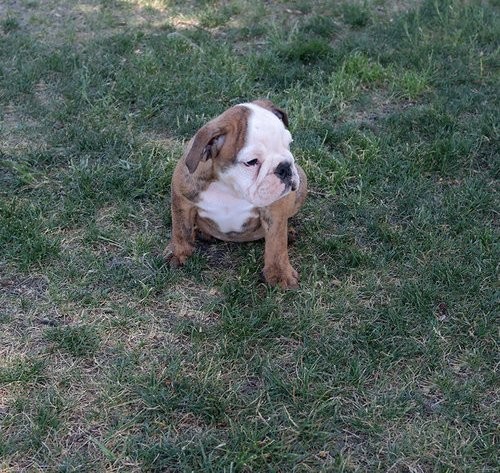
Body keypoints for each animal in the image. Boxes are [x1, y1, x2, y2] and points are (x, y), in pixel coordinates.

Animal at [166, 99, 306, 288]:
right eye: (251, 162)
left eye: (288, 144)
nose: (284, 167)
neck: (229, 187)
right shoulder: (182, 197)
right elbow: (180, 228)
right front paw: (179, 253)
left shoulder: (274, 209)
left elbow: (277, 243)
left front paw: (279, 273)